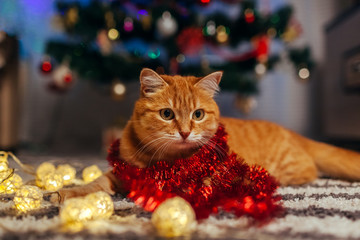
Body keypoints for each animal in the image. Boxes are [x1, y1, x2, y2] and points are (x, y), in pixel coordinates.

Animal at [56, 68, 360, 202]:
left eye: (198, 114)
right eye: (167, 114)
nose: (185, 132)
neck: (166, 162)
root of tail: (295, 134)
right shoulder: (122, 172)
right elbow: (96, 183)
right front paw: (69, 192)